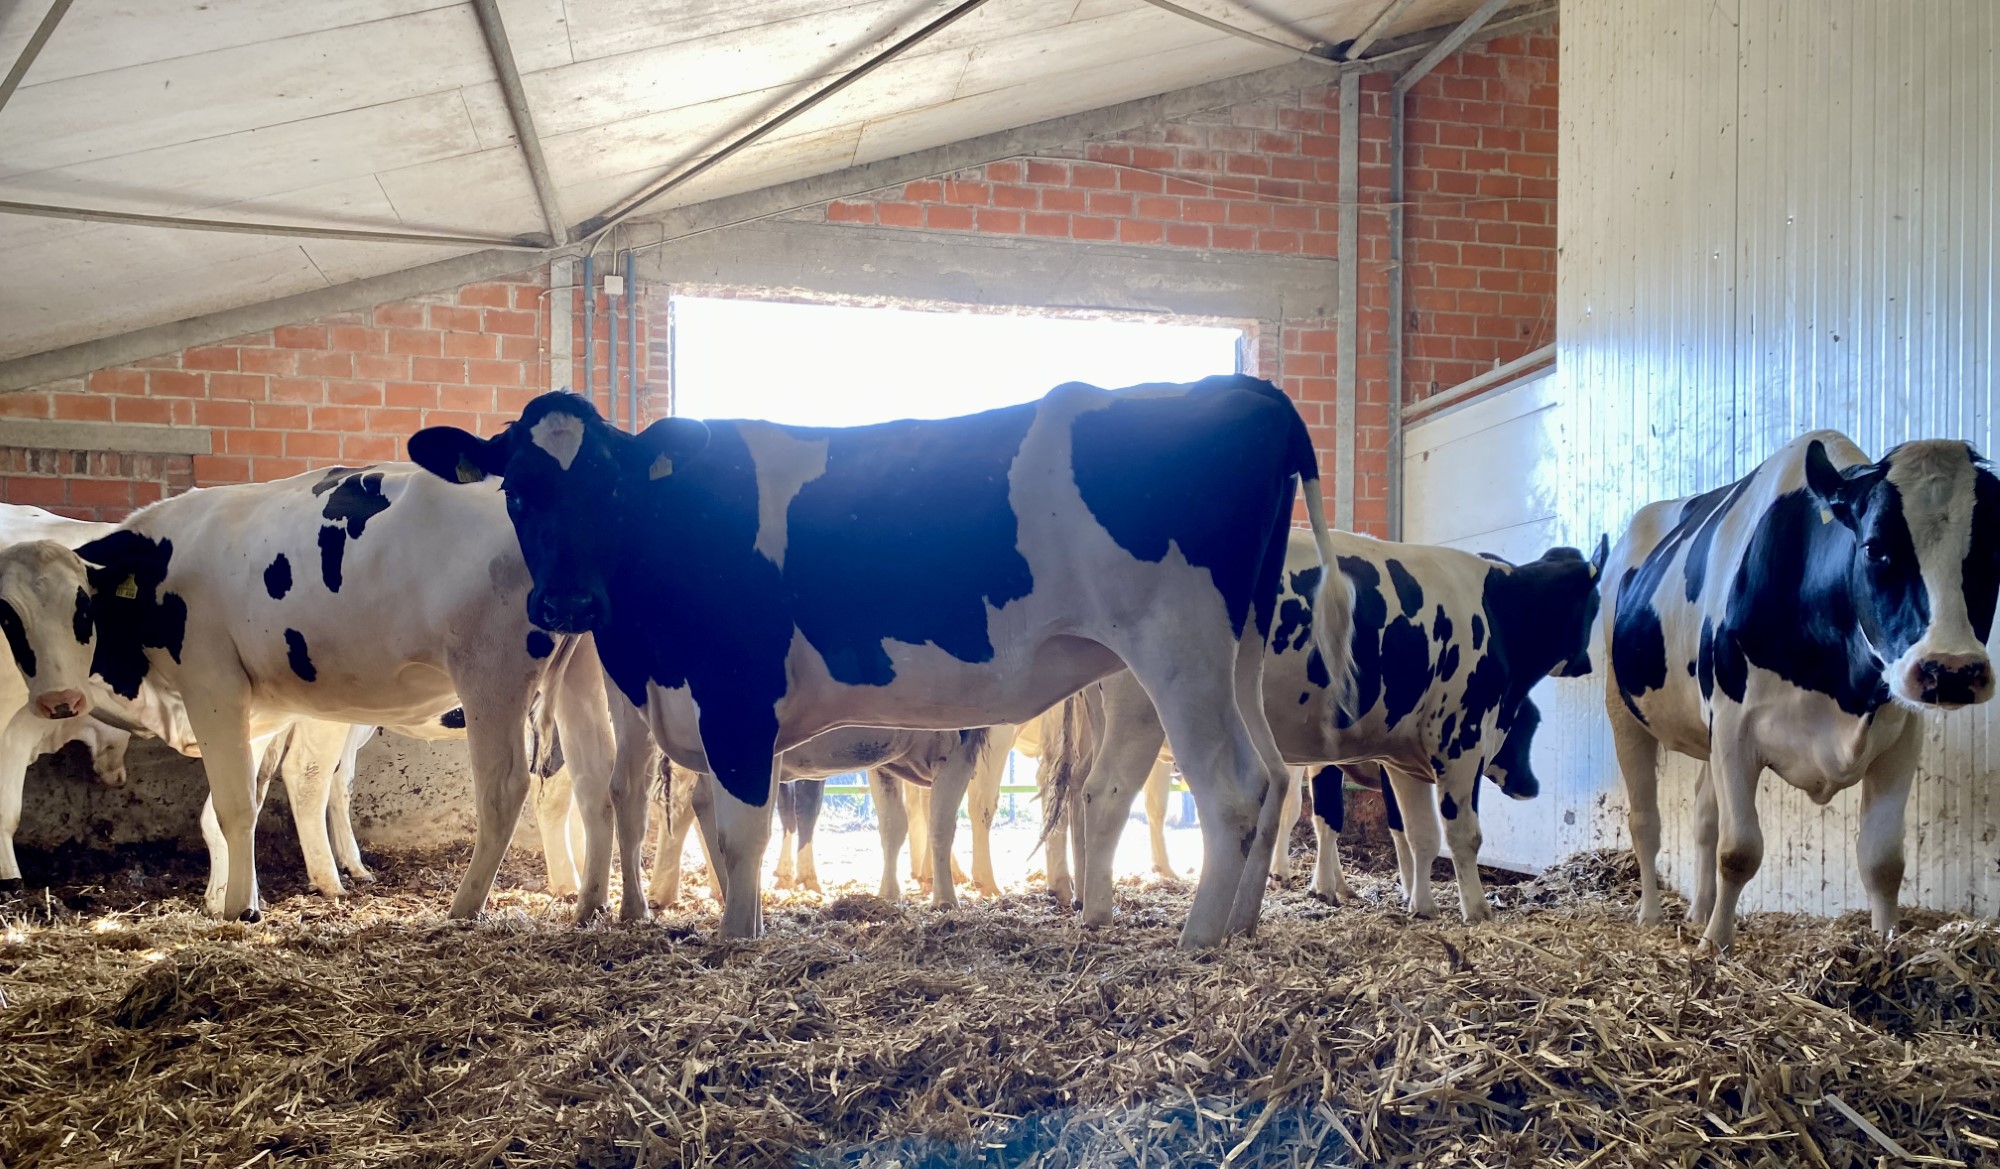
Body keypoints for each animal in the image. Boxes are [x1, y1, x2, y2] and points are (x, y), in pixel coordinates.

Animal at [76, 464, 615, 922]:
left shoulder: (211, 675)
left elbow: (236, 799)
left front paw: (239, 906)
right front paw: (239, 901)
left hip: (491, 666)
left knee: (506, 787)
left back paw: (469, 905)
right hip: (557, 671)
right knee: (588, 777)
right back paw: (585, 903)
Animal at [410, 376, 1352, 946]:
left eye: (610, 488)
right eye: (516, 489)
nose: (566, 604)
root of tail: (1245, 390)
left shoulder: (738, 700)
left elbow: (743, 835)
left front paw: (740, 942)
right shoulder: (712, 718)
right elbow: (721, 832)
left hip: (1178, 651)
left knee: (1232, 788)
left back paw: (1197, 939)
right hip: (1238, 648)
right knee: (1273, 776)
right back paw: (1240, 926)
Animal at [1057, 528, 1602, 926]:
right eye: (1594, 604)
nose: (1588, 664)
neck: (1496, 608)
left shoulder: (1404, 758)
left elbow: (1421, 835)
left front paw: (1422, 908)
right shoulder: (1460, 741)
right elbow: (1462, 834)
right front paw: (1479, 912)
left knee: (1079, 794)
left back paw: (1083, 894)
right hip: (1140, 717)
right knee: (1106, 794)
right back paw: (1101, 912)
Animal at [1604, 431, 2000, 950]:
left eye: (1995, 550)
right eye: (1874, 548)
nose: (1951, 670)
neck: (1843, 693)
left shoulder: (1900, 739)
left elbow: (1883, 860)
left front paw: (1885, 946)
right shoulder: (1733, 729)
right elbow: (1740, 850)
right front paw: (1715, 947)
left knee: (1704, 817)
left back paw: (1697, 912)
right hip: (1623, 710)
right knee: (1646, 822)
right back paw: (1652, 916)